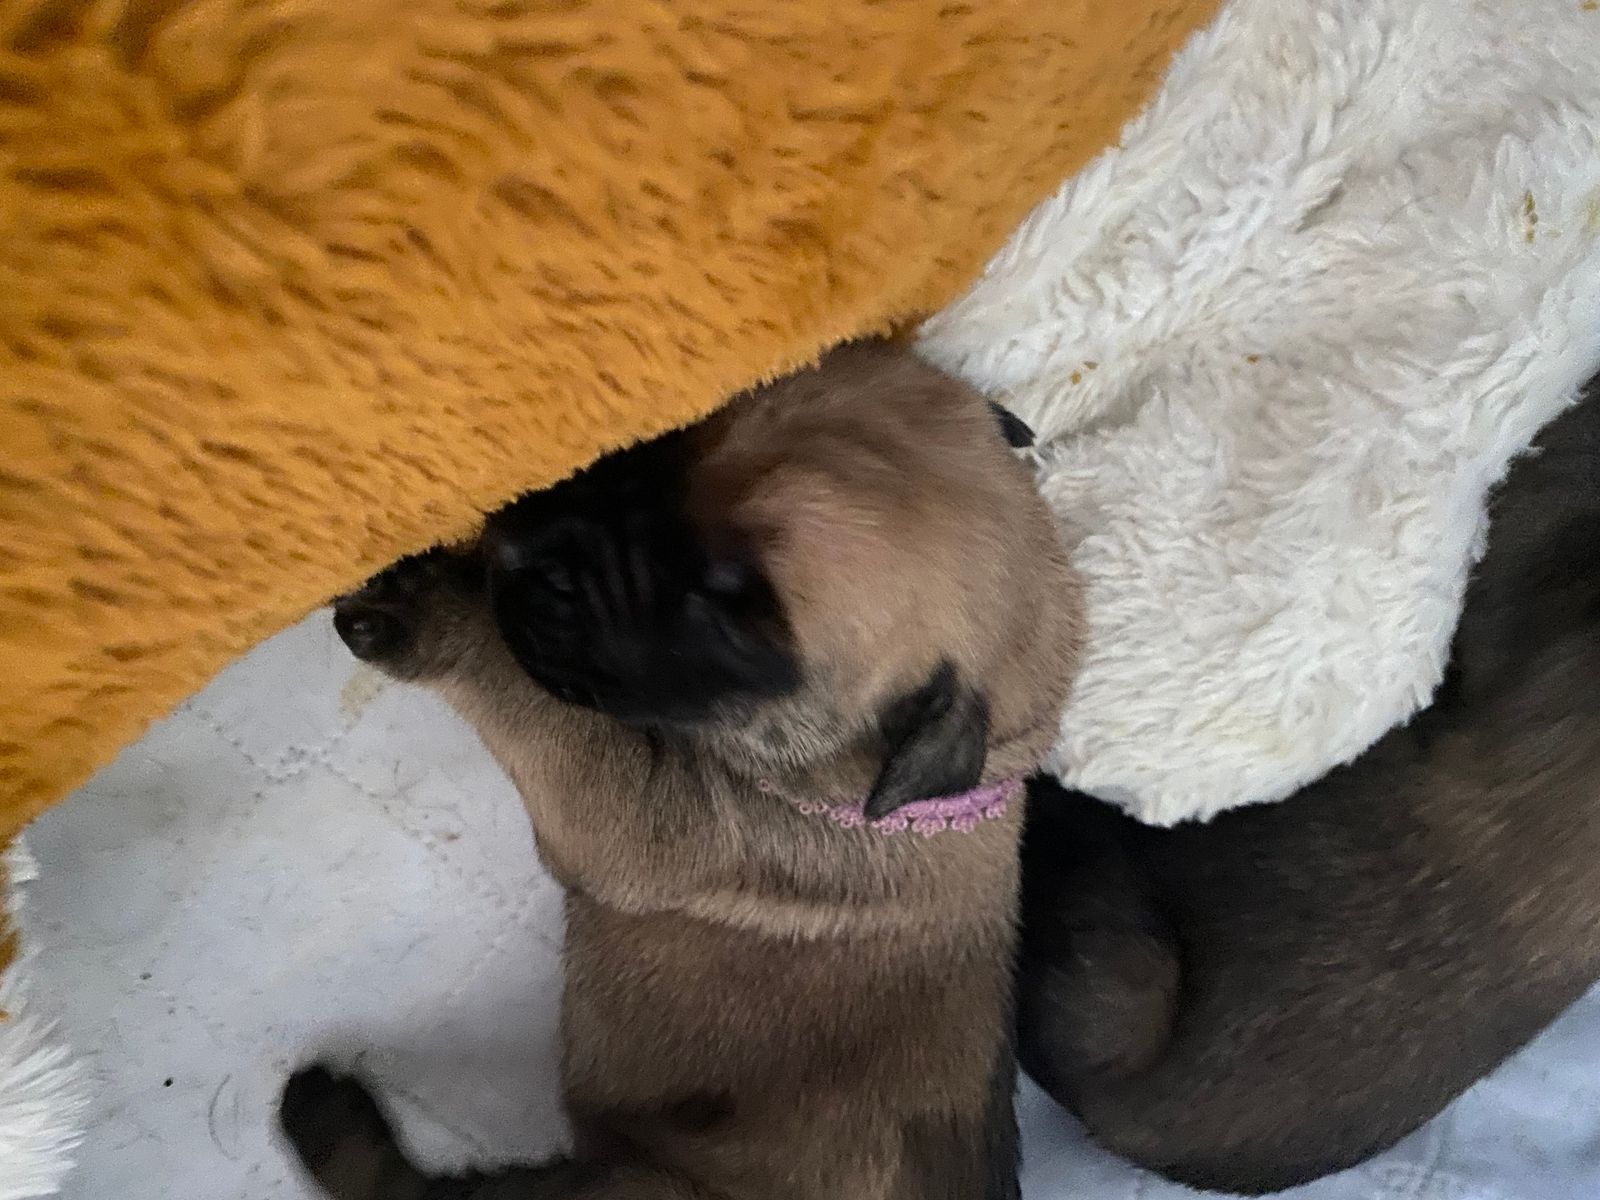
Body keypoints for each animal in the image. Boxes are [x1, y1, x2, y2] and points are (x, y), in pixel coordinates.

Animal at [279, 341, 1083, 1200]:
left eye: (722, 616)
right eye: (673, 447)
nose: (526, 541)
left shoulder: (632, 818)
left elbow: (525, 691)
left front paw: (435, 609)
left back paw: (326, 1116)